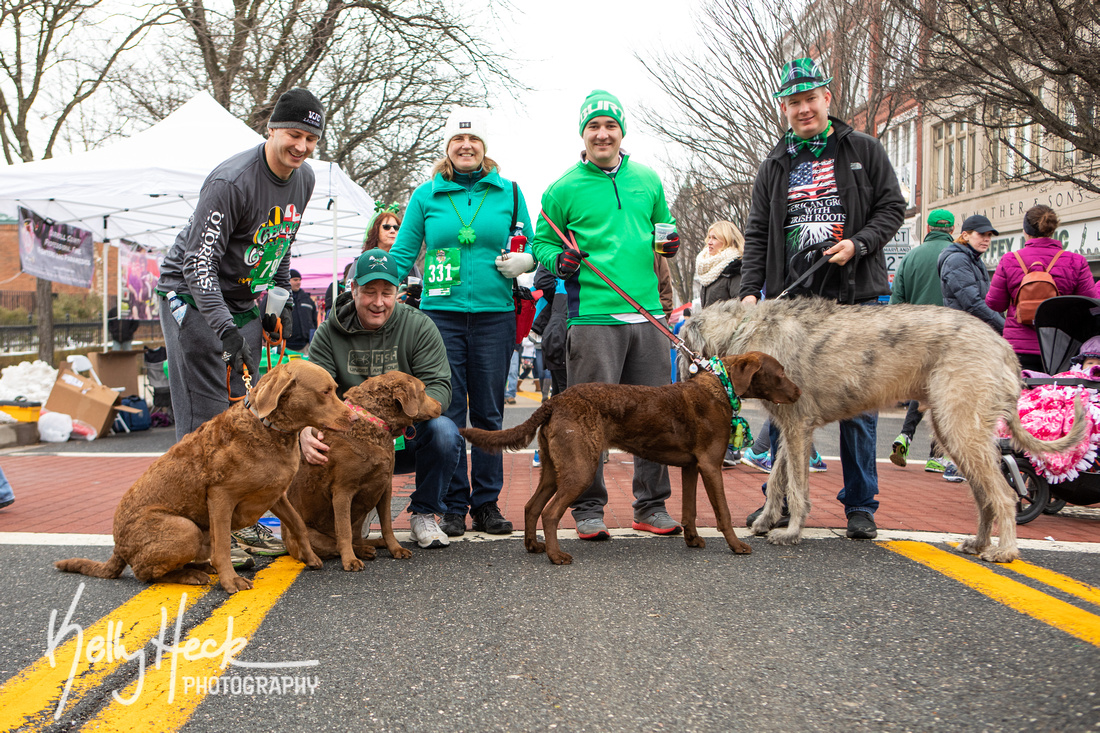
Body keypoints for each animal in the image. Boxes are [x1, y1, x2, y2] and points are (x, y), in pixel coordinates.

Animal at [53, 358, 354, 594]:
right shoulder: (220, 496)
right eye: (326, 391)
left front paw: (310, 557)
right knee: (145, 573)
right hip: (184, 529)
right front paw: (231, 581)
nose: (354, 419)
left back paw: (200, 567)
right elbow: (222, 546)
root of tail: (118, 546)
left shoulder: (275, 494)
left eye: (334, 390)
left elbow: (298, 524)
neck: (269, 429)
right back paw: (192, 574)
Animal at [288, 367, 442, 567]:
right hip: (311, 535)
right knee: (336, 544)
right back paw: (363, 552)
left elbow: (387, 525)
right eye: (423, 390)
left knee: (356, 539)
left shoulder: (385, 486)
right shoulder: (342, 491)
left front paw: (395, 549)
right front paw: (350, 561)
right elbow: (344, 531)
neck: (372, 423)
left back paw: (375, 544)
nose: (440, 404)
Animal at [455, 352, 800, 561]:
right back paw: (557, 556)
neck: (720, 387)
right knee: (550, 513)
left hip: (556, 468)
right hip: (580, 468)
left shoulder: (692, 467)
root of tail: (555, 400)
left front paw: (692, 540)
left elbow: (689, 510)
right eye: (780, 373)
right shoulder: (710, 465)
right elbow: (724, 514)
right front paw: (737, 545)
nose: (799, 392)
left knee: (531, 506)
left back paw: (533, 546)